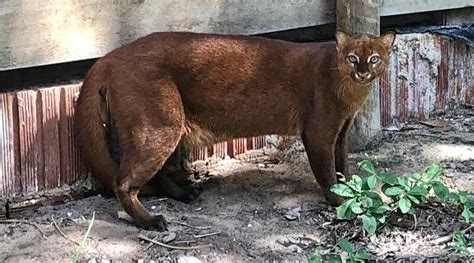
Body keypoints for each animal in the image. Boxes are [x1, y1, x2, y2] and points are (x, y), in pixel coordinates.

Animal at [76, 29, 396, 230]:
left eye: (375, 58)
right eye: (352, 57)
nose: (363, 72)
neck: (351, 94)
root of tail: (108, 57)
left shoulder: (341, 132)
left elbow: (343, 165)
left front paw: (353, 190)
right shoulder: (319, 133)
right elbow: (328, 172)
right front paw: (340, 201)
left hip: (168, 127)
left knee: (158, 172)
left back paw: (185, 194)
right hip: (158, 125)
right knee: (124, 181)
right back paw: (151, 221)